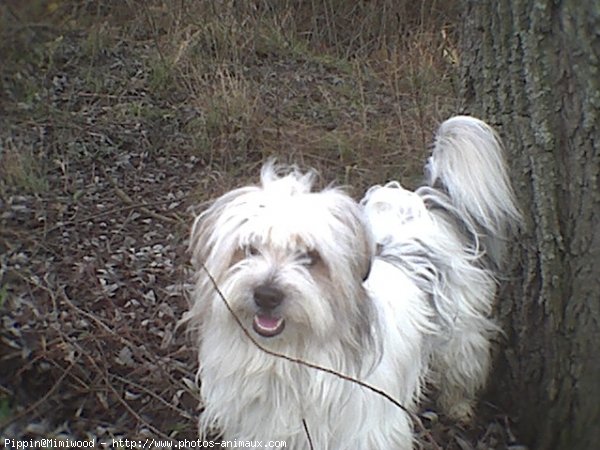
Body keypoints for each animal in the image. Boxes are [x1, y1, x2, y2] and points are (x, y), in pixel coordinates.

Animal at [186, 117, 520, 450]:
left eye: (310, 256)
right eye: (249, 248)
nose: (267, 295)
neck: (289, 353)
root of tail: (425, 206)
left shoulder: (366, 430)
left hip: (461, 334)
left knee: (464, 365)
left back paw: (459, 406)